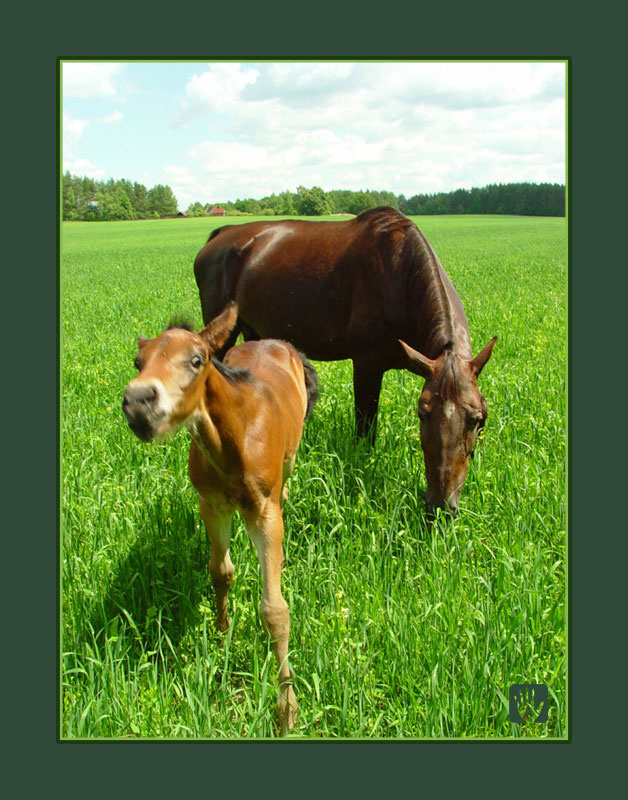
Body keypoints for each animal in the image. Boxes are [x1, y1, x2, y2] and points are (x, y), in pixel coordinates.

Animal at [122, 302, 319, 734]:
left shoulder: (263, 513)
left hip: (290, 459)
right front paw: (222, 636)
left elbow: (275, 611)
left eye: (197, 360)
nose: (139, 403)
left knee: (287, 485)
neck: (234, 437)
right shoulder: (211, 505)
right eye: (139, 362)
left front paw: (287, 709)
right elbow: (221, 572)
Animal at [194, 206, 496, 516]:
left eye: (477, 419)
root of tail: (221, 233)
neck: (400, 273)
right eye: (422, 413)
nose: (441, 507)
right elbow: (365, 430)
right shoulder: (367, 365)